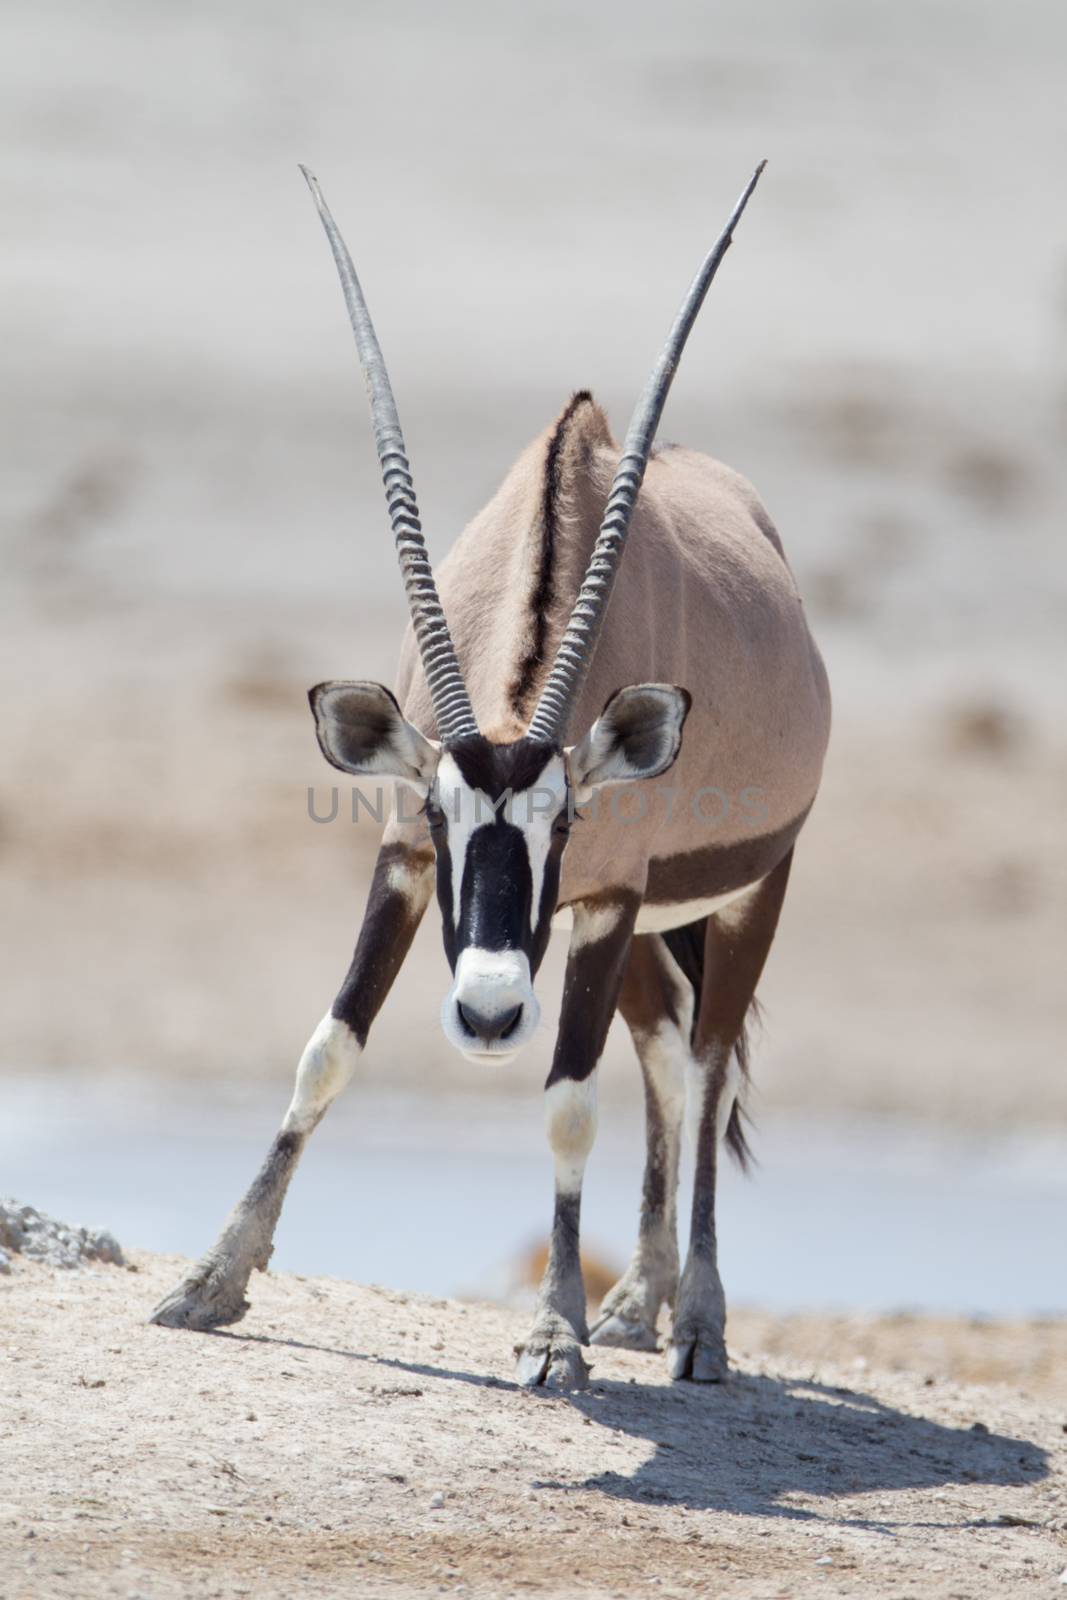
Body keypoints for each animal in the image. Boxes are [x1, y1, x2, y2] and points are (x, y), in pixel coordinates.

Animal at [150, 165, 831, 1388]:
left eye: (563, 822)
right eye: (438, 808)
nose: (486, 1012)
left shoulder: (604, 895)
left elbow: (567, 1101)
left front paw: (555, 1335)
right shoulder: (406, 862)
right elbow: (328, 1048)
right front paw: (210, 1279)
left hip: (745, 892)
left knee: (708, 1069)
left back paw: (696, 1327)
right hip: (652, 931)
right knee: (666, 1061)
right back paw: (639, 1303)